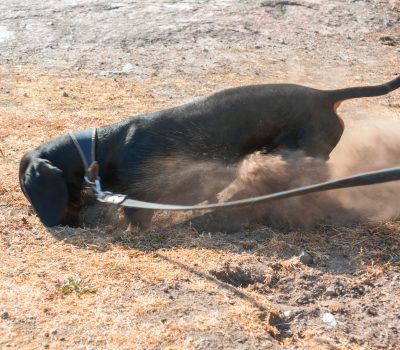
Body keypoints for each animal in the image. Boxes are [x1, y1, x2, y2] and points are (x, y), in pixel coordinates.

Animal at [18, 76, 400, 230]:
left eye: (27, 190)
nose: (63, 226)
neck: (99, 149)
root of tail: (325, 96)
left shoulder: (143, 196)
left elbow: (137, 219)